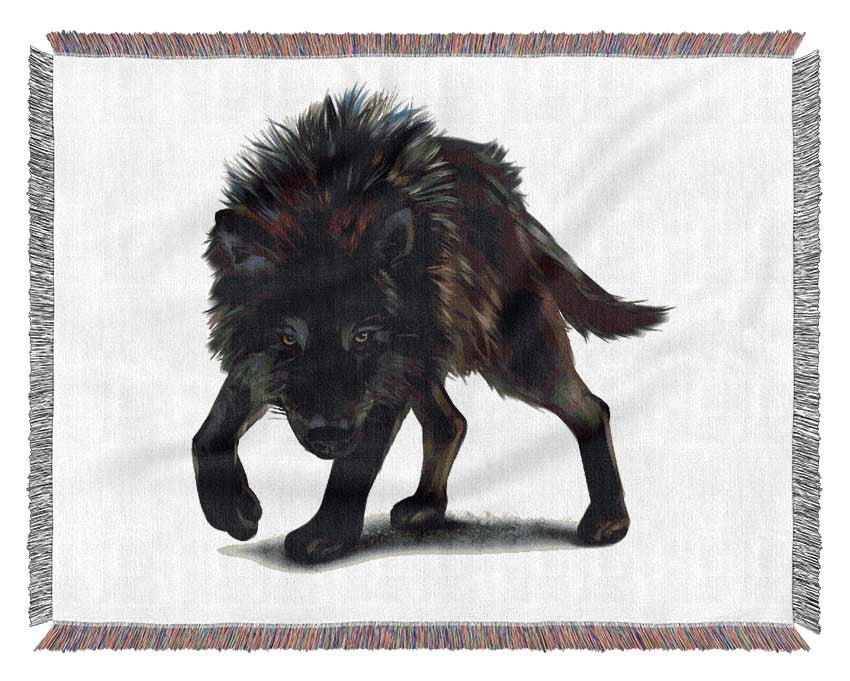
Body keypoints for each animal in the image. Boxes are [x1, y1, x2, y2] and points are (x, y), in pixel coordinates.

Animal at [192, 87, 668, 565]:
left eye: (362, 337)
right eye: (288, 338)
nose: (329, 436)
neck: (324, 208)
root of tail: (508, 196)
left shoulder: (385, 379)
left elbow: (353, 468)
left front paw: (325, 536)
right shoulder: (261, 364)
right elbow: (208, 435)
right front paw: (236, 510)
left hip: (512, 357)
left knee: (592, 410)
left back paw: (609, 521)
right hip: (428, 358)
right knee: (450, 423)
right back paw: (425, 507)